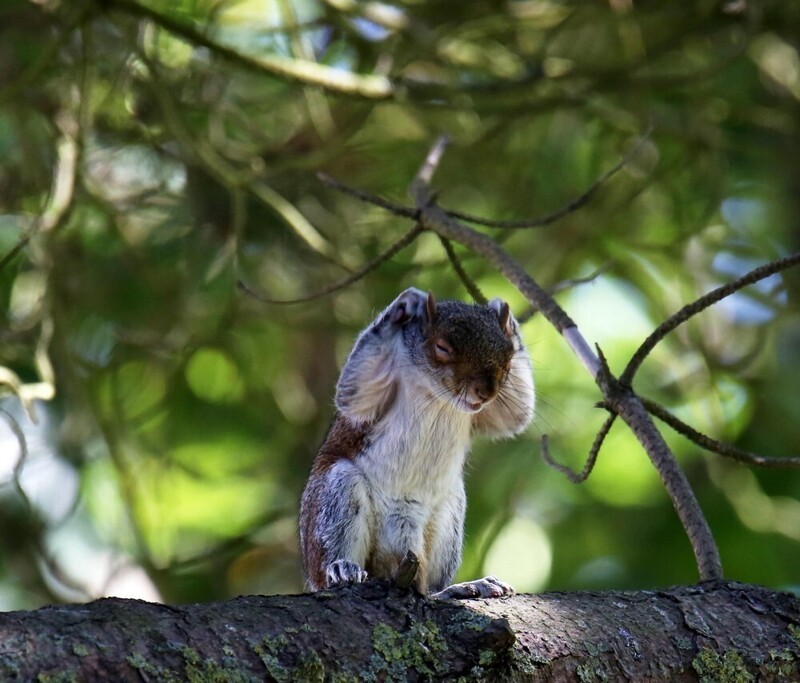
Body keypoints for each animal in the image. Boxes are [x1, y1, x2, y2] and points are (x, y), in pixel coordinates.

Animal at [296, 288, 536, 600]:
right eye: (442, 348)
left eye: (508, 356)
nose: (486, 392)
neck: (438, 396)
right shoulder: (374, 389)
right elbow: (352, 393)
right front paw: (408, 303)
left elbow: (516, 414)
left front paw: (497, 307)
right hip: (335, 498)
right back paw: (341, 569)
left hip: (449, 515)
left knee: (429, 589)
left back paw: (458, 589)